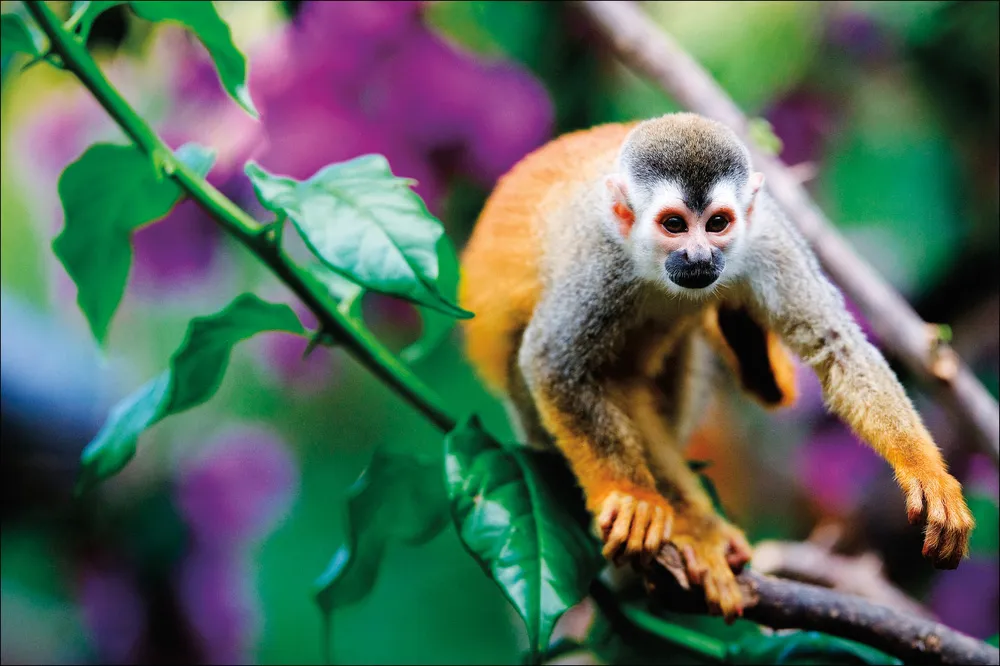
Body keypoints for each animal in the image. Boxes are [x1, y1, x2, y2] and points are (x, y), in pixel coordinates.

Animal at [458, 113, 974, 621]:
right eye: (674, 225)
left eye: (718, 223)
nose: (700, 255)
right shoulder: (599, 263)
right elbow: (554, 361)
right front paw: (636, 498)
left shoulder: (767, 238)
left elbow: (837, 347)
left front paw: (926, 474)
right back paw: (693, 528)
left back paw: (752, 357)